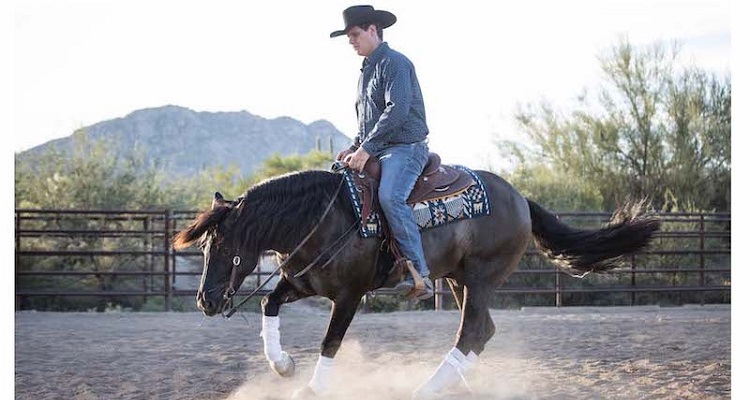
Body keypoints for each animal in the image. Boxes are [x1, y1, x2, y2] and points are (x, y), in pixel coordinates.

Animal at [173, 167, 660, 398]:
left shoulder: (349, 295)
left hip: (481, 277)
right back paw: (453, 384)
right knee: (482, 331)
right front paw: (283, 366)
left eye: (223, 246)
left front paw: (311, 387)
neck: (324, 219)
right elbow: (268, 305)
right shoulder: (304, 283)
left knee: (472, 330)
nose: (205, 301)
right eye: (205, 246)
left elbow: (331, 342)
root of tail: (520, 197)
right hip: (461, 280)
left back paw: (428, 387)